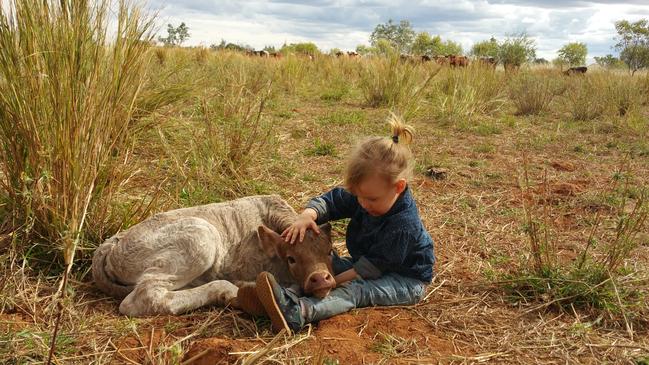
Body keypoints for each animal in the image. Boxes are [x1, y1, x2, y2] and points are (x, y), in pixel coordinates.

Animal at [92, 193, 334, 316]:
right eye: (291, 258)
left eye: (330, 251)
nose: (320, 278)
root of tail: (113, 241)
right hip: (200, 237)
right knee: (145, 297)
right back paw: (229, 291)